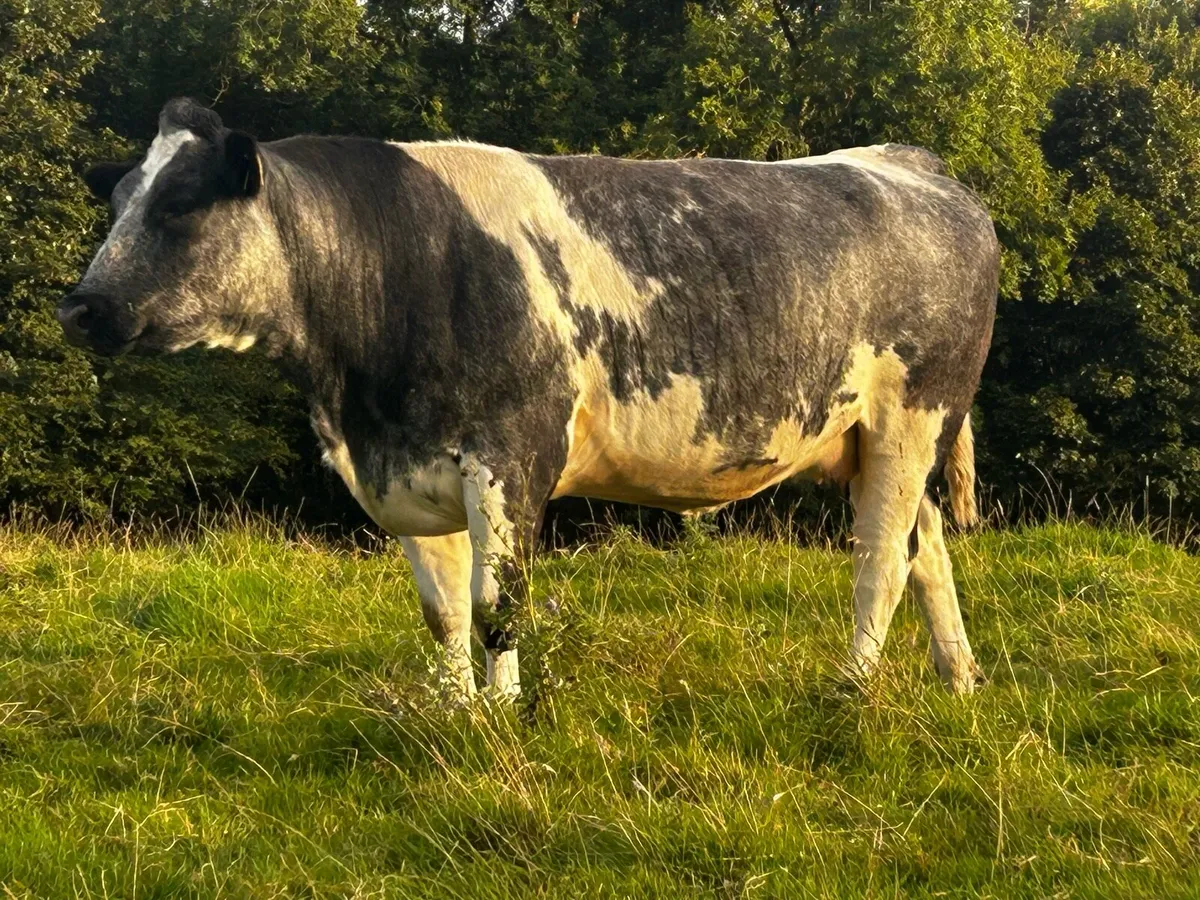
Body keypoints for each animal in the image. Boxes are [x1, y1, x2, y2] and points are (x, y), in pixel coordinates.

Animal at [58, 98, 998, 699]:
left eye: (180, 202)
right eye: (118, 199)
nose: (79, 307)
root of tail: (906, 163)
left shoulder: (514, 455)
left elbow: (495, 604)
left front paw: (505, 716)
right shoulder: (407, 473)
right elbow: (441, 614)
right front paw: (453, 714)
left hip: (912, 418)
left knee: (881, 561)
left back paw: (850, 690)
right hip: (873, 440)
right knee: (926, 550)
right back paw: (960, 681)